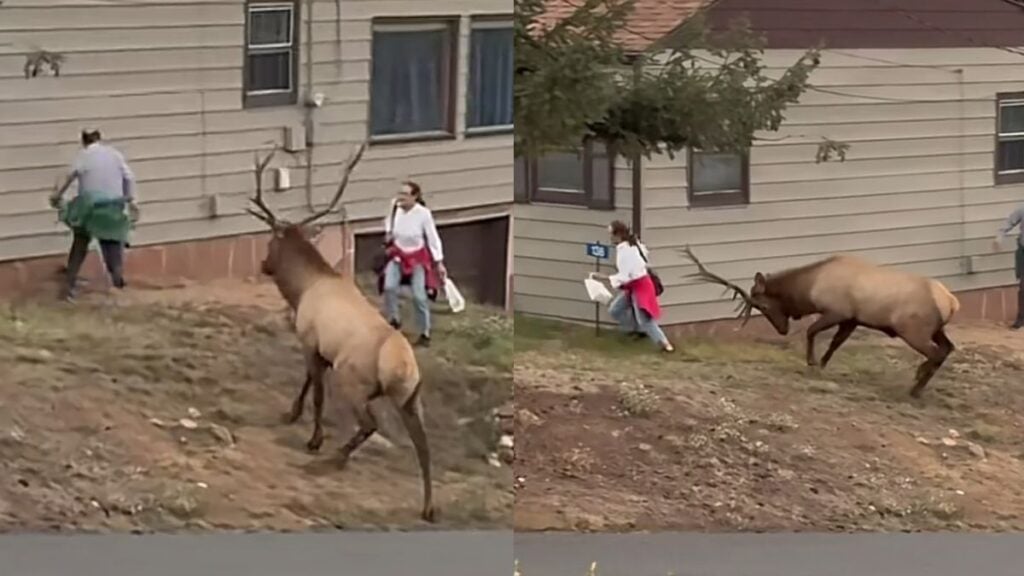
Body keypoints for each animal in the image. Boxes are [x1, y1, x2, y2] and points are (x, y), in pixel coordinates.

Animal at [245, 140, 435, 522]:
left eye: (271, 244)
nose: (264, 265)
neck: (303, 289)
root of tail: (403, 367)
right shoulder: (318, 349)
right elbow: (306, 380)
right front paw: (290, 414)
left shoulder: (309, 340)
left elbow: (316, 391)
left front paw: (313, 438)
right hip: (412, 398)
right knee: (424, 447)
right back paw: (428, 507)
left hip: (356, 382)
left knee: (370, 424)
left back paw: (336, 457)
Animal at [681, 247, 960, 398]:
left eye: (763, 305)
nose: (782, 329)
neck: (809, 288)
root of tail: (951, 302)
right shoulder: (851, 319)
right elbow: (835, 343)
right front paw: (822, 364)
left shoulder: (836, 311)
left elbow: (811, 331)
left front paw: (812, 362)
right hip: (937, 329)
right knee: (948, 348)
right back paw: (918, 383)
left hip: (913, 330)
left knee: (936, 353)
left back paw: (915, 384)